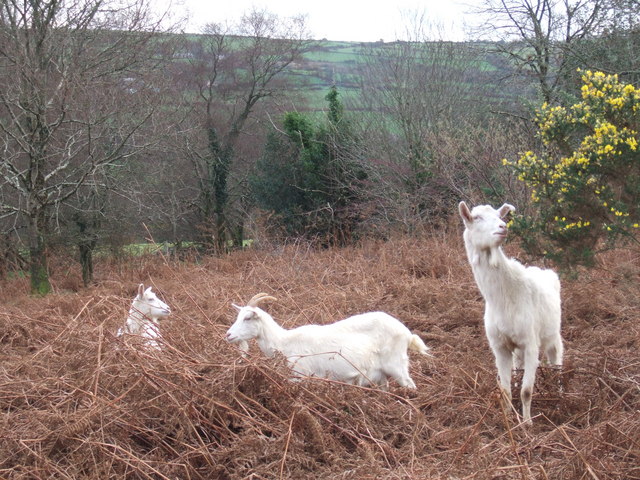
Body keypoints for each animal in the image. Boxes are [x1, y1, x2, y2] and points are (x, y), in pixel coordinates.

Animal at [225, 292, 430, 390]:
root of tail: (407, 333)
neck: (284, 342)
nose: (228, 335)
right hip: (380, 375)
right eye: (238, 316)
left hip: (397, 365)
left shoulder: (299, 376)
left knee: (410, 385)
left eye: (248, 318)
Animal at [458, 202, 564, 424]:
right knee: (518, 367)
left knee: (557, 362)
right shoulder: (500, 347)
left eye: (499, 215)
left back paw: (559, 400)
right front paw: (507, 417)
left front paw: (527, 423)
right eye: (476, 217)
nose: (502, 227)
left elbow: (527, 391)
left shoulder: (531, 343)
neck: (504, 298)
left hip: (553, 334)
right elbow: (505, 390)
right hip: (517, 349)